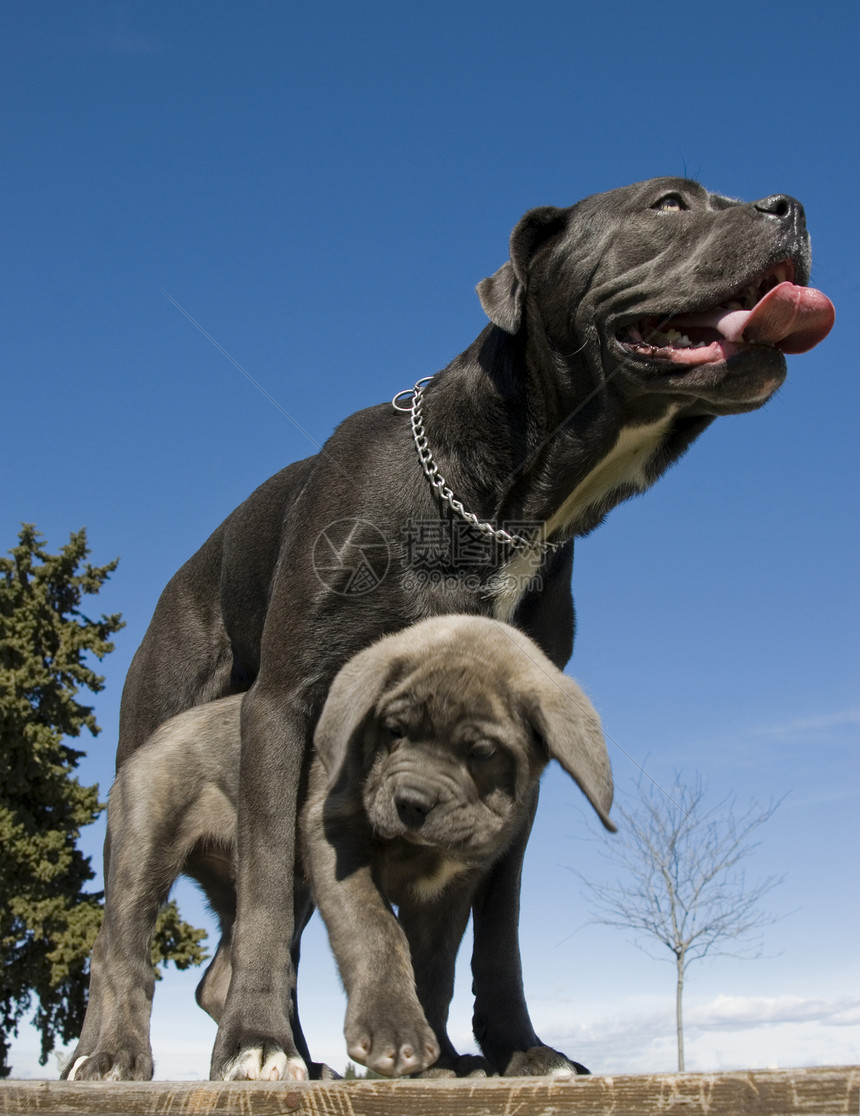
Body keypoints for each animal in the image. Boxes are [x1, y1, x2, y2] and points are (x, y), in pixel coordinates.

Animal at [68, 616, 611, 1075]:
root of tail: (156, 736)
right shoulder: (334, 843)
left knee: (222, 975)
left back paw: (300, 1063)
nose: (412, 802)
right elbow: (375, 932)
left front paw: (440, 1061)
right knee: (122, 957)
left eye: (482, 752)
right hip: (145, 855)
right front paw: (394, 1032)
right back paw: (116, 1056)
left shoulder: (447, 896)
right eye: (393, 730)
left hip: (276, 887)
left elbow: (436, 977)